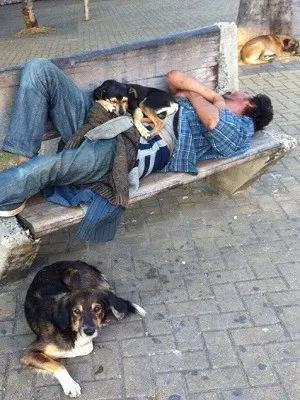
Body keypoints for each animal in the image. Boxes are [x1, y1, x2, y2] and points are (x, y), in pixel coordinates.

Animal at [20, 260, 146, 398]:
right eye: (76, 311)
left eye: (97, 309)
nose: (89, 331)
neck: (68, 329)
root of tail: (78, 262)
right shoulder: (28, 354)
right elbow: (58, 364)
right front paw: (70, 385)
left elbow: (85, 347)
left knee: (110, 295)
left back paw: (116, 313)